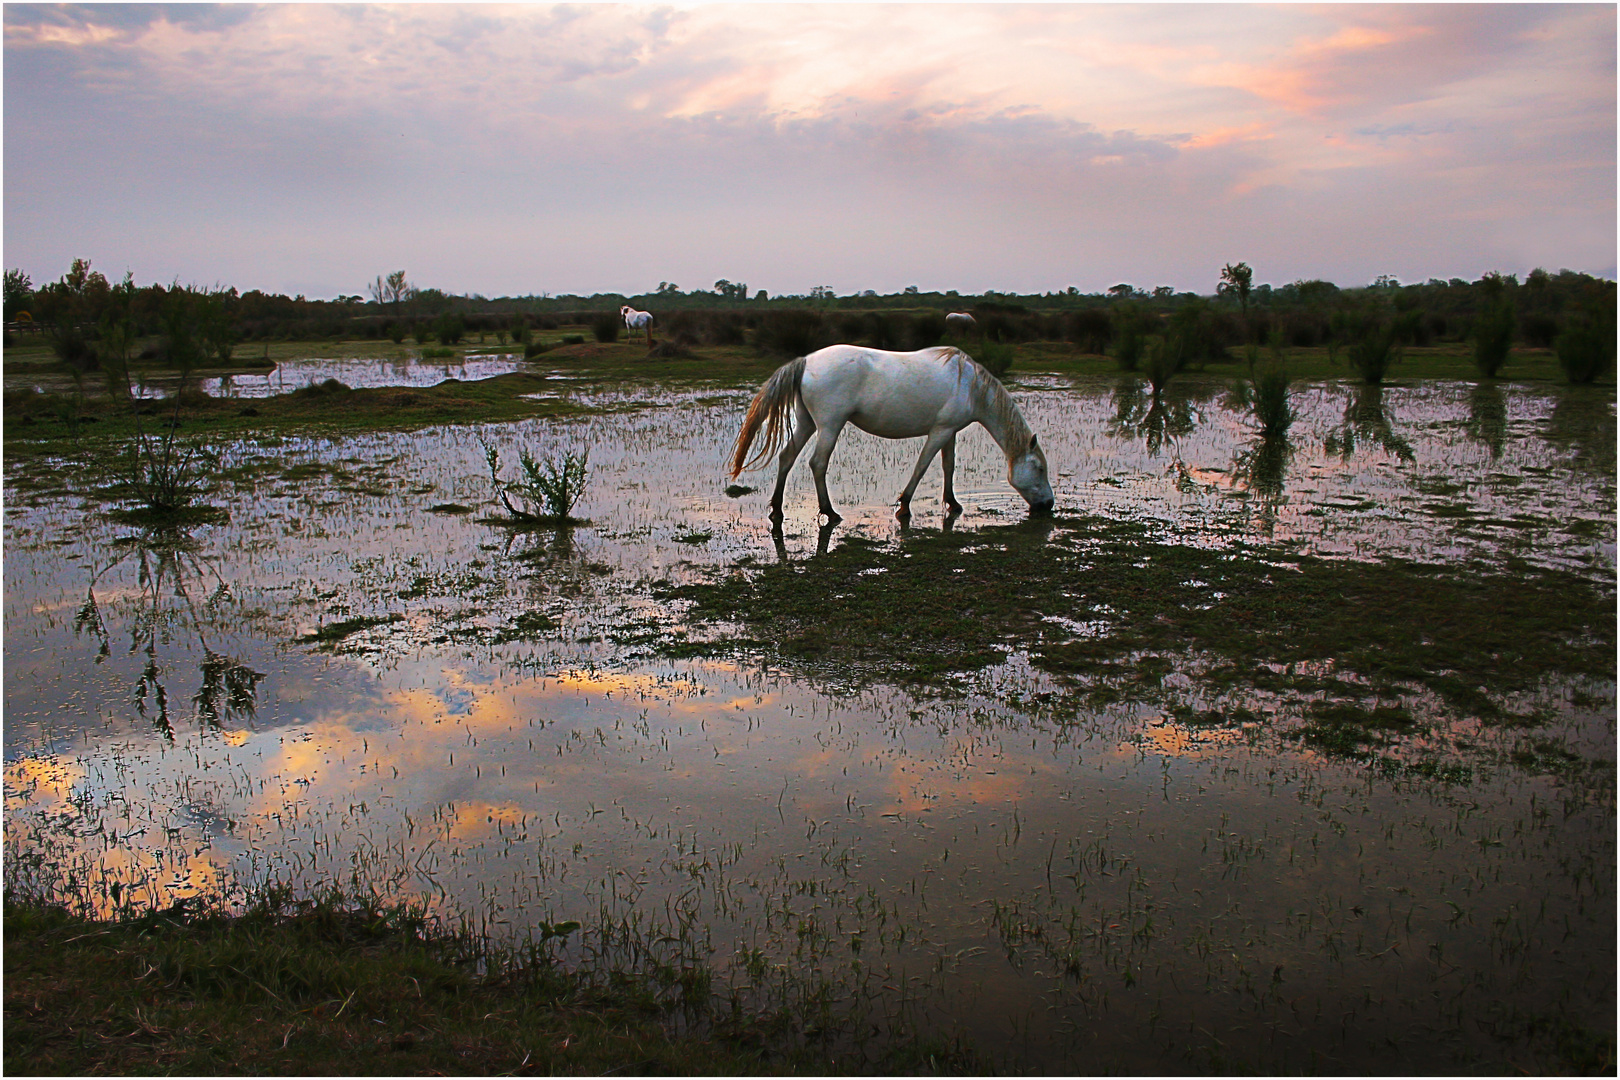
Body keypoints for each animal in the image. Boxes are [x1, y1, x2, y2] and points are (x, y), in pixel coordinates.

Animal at [729, 344, 1056, 524]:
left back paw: (776, 510)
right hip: (830, 425)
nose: (1048, 505)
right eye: (1039, 468)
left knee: (787, 457)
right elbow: (922, 466)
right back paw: (829, 512)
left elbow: (948, 466)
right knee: (817, 463)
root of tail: (806, 361)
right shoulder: (939, 431)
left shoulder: (950, 432)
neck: (970, 385)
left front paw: (952, 503)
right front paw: (904, 506)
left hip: (808, 422)